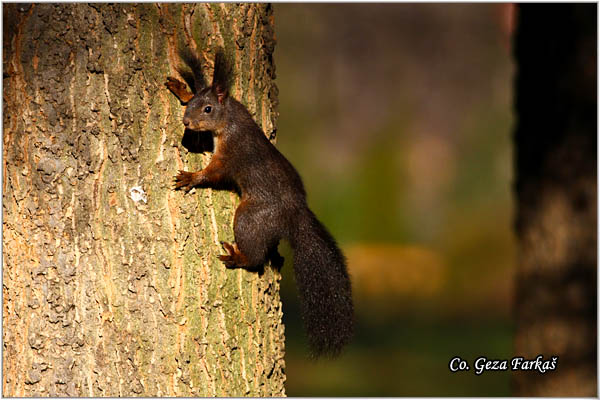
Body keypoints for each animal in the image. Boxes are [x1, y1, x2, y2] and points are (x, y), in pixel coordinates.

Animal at [165, 48, 352, 358]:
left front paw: (191, 177)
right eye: (193, 103)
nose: (186, 122)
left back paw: (238, 256)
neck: (231, 118)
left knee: (256, 258)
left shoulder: (230, 155)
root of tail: (294, 214)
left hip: (250, 217)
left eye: (208, 109)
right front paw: (180, 87)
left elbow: (213, 173)